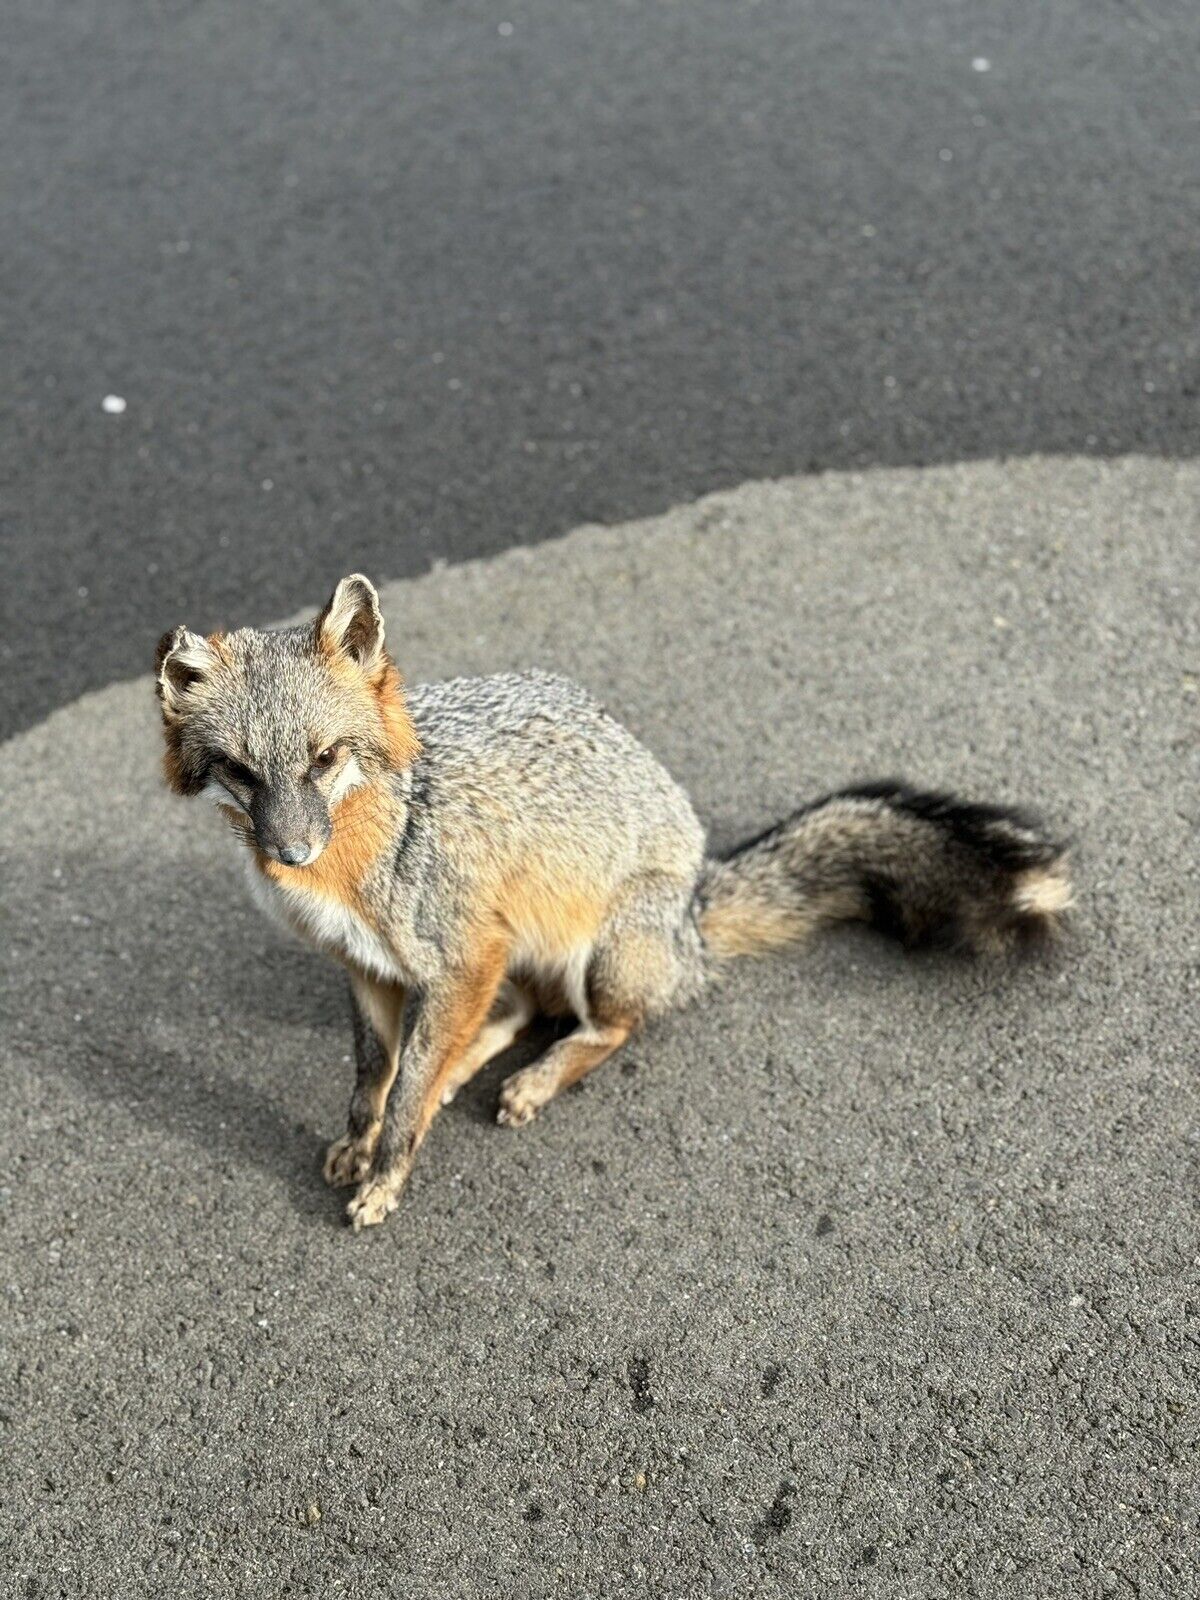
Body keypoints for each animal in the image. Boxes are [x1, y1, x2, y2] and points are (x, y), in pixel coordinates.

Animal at [157, 582, 1068, 1228]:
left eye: (324, 759)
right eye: (241, 771)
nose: (290, 853)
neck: (358, 859)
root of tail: (694, 903)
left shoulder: (459, 955)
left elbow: (407, 1087)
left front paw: (389, 1172)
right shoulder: (370, 969)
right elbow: (371, 1077)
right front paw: (361, 1139)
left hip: (599, 958)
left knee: (608, 1027)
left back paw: (535, 1076)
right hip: (521, 952)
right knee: (517, 1013)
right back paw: (470, 1063)